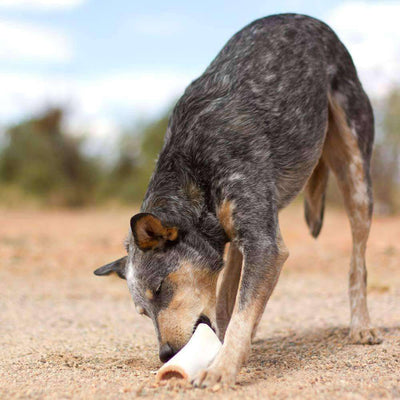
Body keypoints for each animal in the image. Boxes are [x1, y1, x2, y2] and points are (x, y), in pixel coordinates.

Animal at [94, 13, 382, 388]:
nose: (166, 356)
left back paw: (361, 326)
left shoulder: (266, 246)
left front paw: (222, 368)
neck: (193, 172)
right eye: (143, 311)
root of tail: (310, 19)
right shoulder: (244, 239)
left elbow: (243, 313)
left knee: (357, 264)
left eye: (160, 288)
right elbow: (231, 306)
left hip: (356, 176)